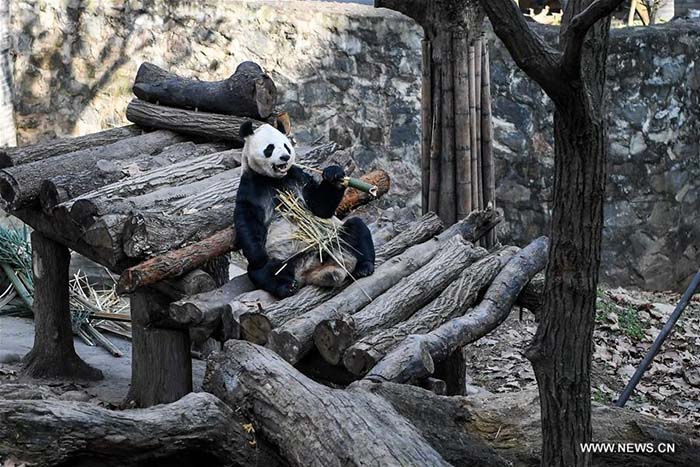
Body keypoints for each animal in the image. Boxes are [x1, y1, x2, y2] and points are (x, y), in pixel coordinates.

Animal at [234, 120, 376, 298]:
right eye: (270, 148)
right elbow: (248, 220)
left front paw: (334, 175)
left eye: (286, 146)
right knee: (264, 270)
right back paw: (287, 286)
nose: (285, 157)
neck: (274, 180)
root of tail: (312, 269)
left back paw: (364, 267)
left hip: (335, 238)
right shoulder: (251, 186)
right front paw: (258, 255)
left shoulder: (298, 177)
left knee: (356, 229)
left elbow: (319, 208)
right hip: (285, 258)